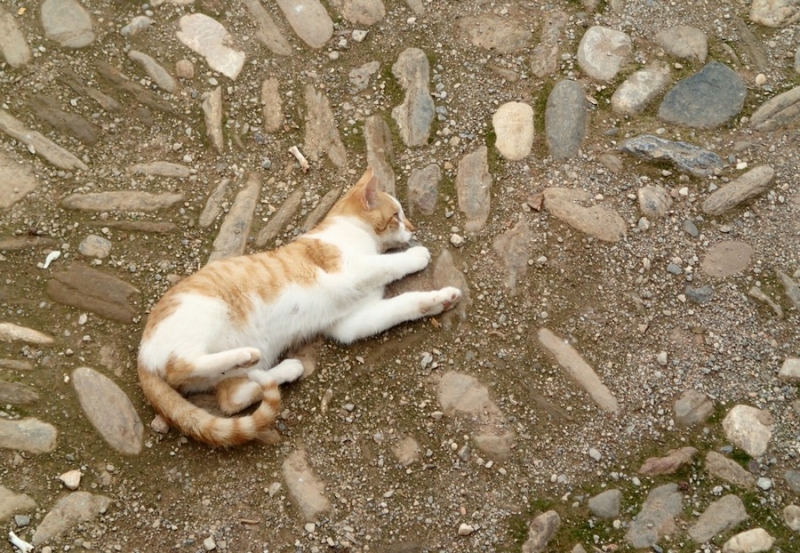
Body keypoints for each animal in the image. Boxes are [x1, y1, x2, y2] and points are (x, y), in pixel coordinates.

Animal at [138, 167, 462, 444]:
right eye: (396, 215)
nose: (413, 227)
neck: (351, 232)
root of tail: (143, 358)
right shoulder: (350, 271)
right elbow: (389, 264)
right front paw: (416, 256)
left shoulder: (350, 323)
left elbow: (402, 304)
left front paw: (439, 300)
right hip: (207, 313)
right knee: (179, 366)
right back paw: (245, 355)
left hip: (244, 363)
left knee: (232, 400)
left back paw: (285, 369)